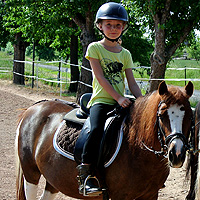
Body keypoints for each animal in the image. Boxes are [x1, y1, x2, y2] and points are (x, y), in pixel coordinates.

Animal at [16, 80, 195, 199]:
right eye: (162, 115)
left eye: (189, 115)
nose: (177, 153)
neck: (136, 148)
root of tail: (34, 107)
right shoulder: (119, 196)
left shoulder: (151, 195)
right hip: (31, 173)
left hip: (53, 179)